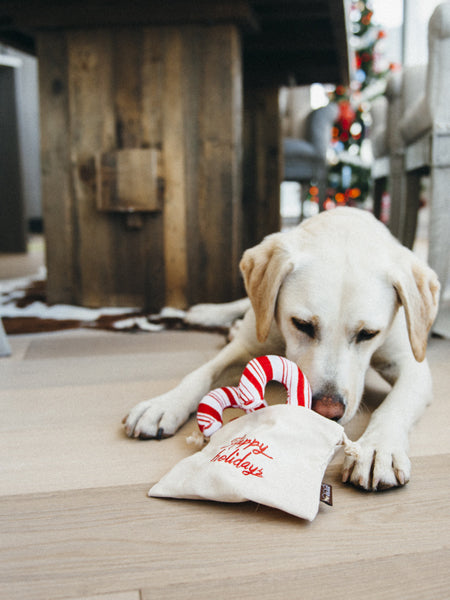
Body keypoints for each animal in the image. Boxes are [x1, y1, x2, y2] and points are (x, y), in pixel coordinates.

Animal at [124, 209, 440, 490]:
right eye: (302, 324)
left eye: (368, 334)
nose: (327, 411)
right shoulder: (247, 347)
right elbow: (201, 374)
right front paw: (163, 404)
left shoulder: (412, 365)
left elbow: (394, 406)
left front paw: (376, 449)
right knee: (245, 304)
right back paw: (209, 314)